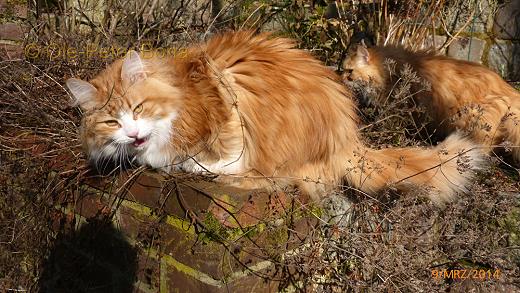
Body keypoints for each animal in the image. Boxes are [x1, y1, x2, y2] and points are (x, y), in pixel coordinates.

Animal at [65, 30, 484, 203]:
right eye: (111, 122)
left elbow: (215, 158)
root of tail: (348, 136)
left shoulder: (226, 116)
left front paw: (186, 165)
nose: (132, 134)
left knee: (274, 176)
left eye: (137, 108)